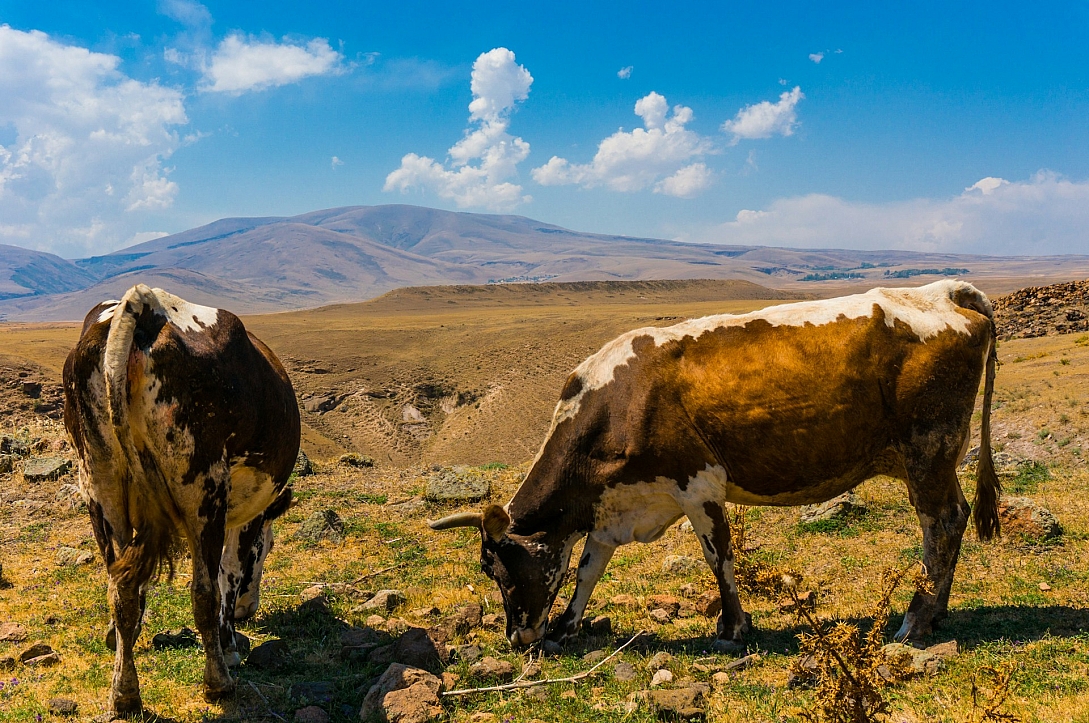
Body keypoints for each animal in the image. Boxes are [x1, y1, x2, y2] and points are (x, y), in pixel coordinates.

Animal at [63, 285, 302, 714]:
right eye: (269, 547)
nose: (250, 610)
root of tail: (144, 306)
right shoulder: (243, 513)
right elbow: (229, 571)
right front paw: (229, 644)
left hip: (99, 486)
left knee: (121, 590)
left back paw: (124, 693)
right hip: (202, 487)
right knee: (203, 592)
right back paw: (218, 682)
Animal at [429, 278, 997, 653]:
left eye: (494, 567)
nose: (516, 637)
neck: (619, 401)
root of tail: (944, 291)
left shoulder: (697, 484)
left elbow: (718, 557)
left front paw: (733, 628)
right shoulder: (617, 504)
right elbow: (589, 566)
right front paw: (569, 625)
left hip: (928, 451)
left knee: (941, 523)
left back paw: (915, 621)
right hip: (936, 458)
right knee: (956, 517)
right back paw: (937, 613)